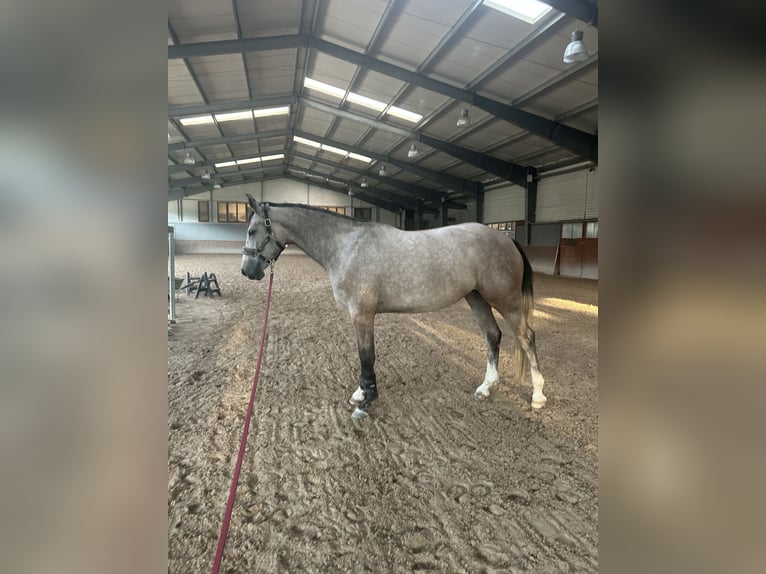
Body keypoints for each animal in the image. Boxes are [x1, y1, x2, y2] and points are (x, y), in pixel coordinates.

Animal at [240, 197, 546, 419]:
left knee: (527, 337)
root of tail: (506, 238)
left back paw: (538, 396)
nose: (247, 271)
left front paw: (365, 402)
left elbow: (366, 356)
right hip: (477, 298)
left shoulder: (362, 315)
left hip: (506, 300)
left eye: (252, 230)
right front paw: (361, 393)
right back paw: (486, 387)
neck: (347, 246)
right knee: (492, 335)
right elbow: (364, 357)